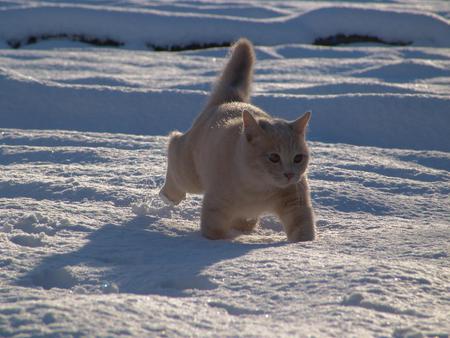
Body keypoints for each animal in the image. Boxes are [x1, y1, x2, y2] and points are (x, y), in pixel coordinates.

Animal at [160, 38, 314, 242]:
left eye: (298, 158)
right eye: (273, 157)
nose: (289, 174)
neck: (259, 188)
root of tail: (231, 100)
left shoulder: (296, 201)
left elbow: (303, 230)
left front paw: (303, 246)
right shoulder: (216, 205)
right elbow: (214, 233)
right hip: (189, 172)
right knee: (174, 145)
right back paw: (168, 195)